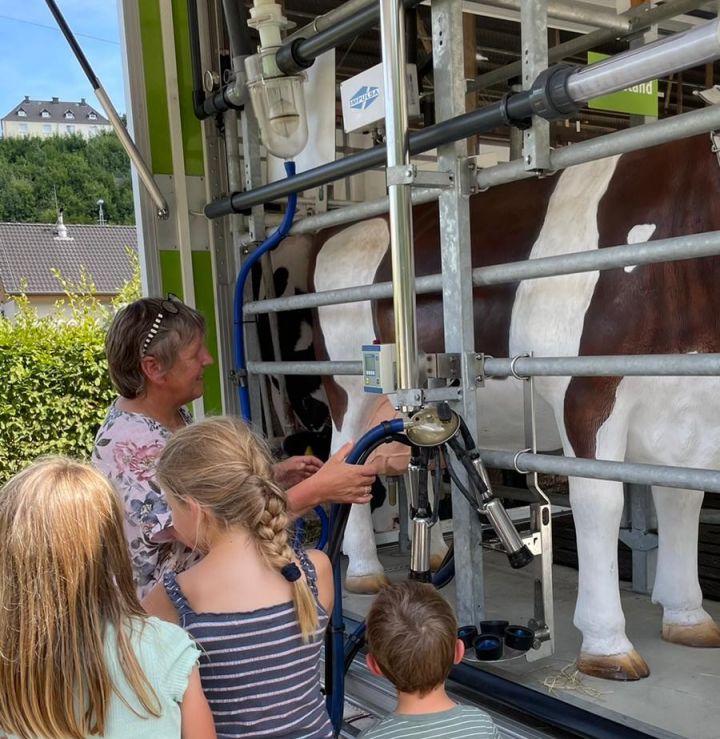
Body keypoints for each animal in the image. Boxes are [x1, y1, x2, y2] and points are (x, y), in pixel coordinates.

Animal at [272, 134, 720, 681]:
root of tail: (340, 232)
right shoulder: (585, 394)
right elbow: (601, 505)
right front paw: (607, 643)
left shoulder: (689, 405)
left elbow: (683, 500)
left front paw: (688, 616)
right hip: (351, 385)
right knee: (349, 454)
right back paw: (365, 570)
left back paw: (434, 553)